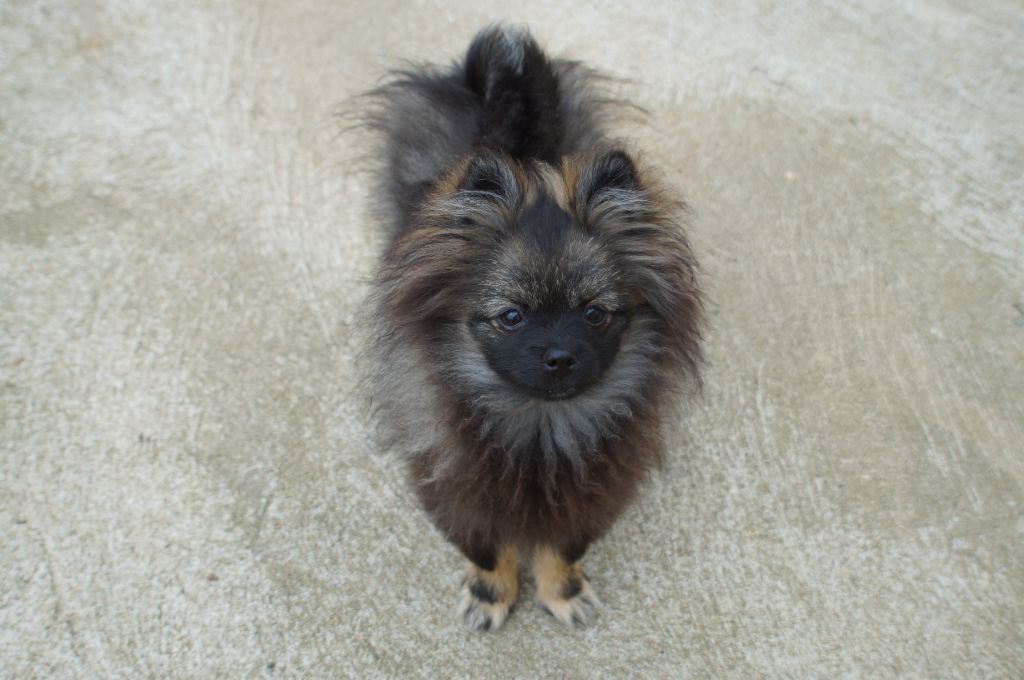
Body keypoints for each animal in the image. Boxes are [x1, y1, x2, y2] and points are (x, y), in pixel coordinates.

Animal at [362, 26, 704, 630]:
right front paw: (490, 593)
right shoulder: (455, 490)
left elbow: (562, 548)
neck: (541, 426)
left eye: (595, 314)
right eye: (511, 317)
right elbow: (485, 548)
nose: (559, 355)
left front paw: (562, 591)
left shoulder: (589, 500)